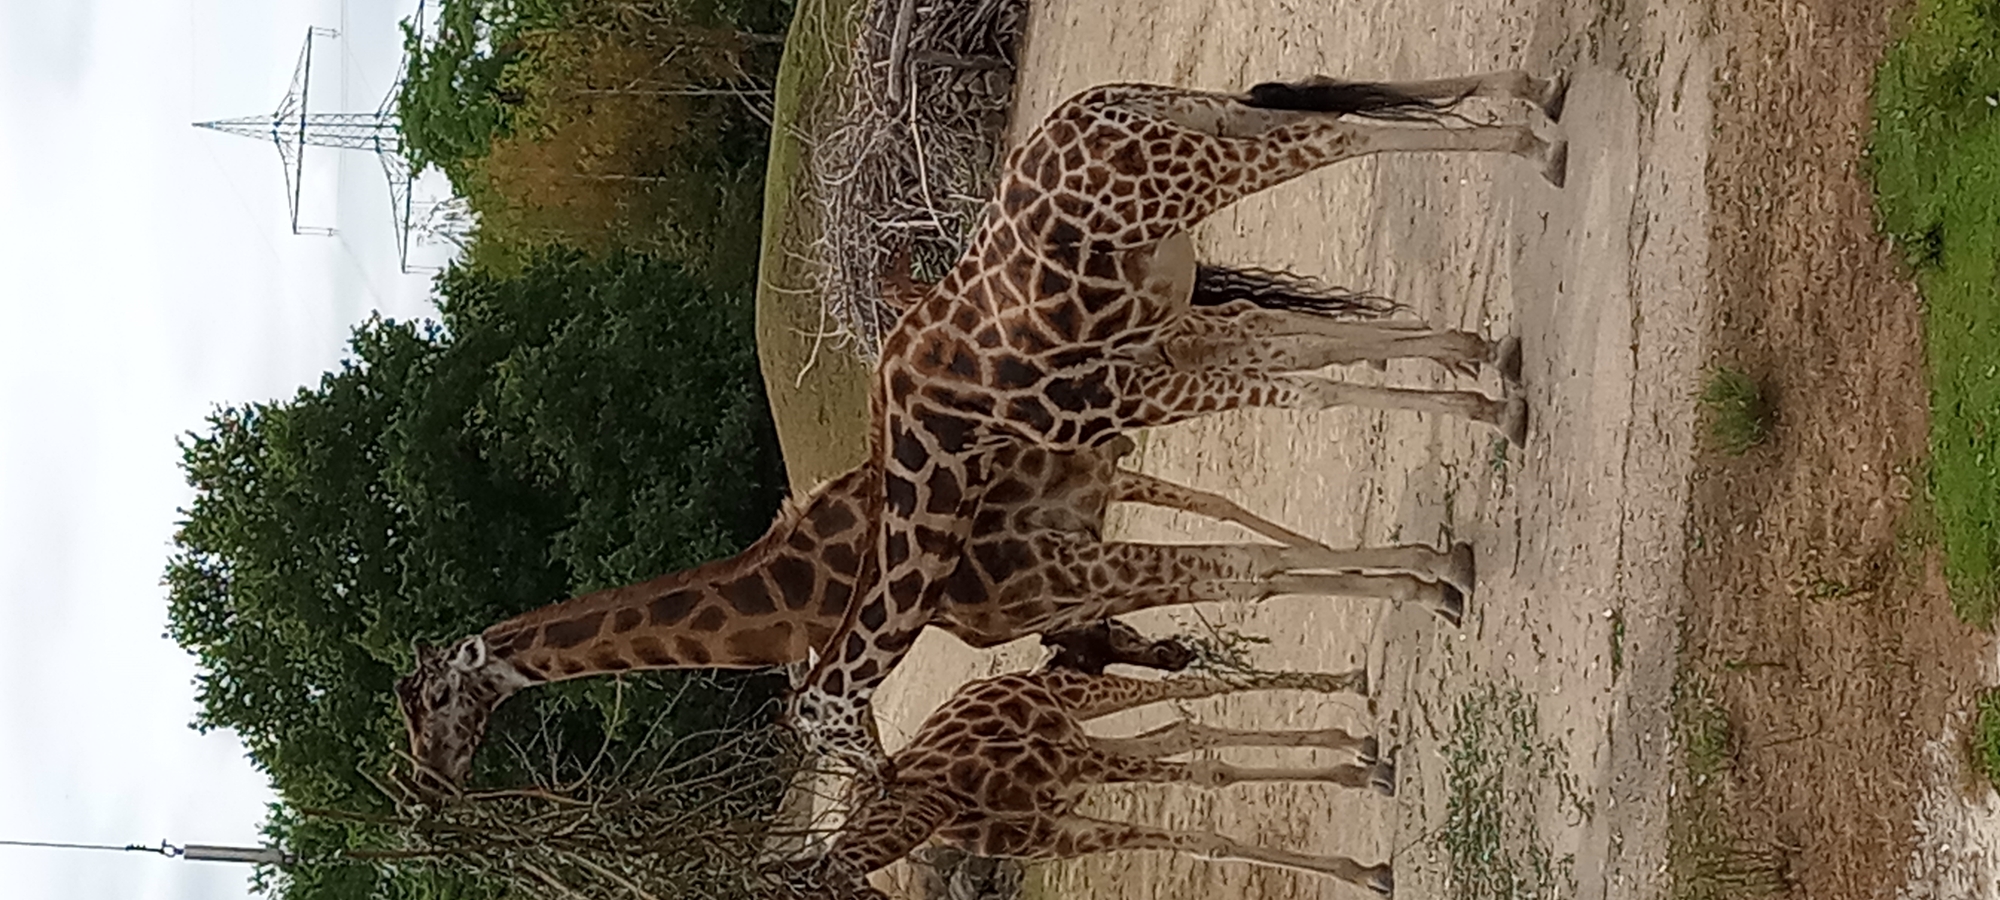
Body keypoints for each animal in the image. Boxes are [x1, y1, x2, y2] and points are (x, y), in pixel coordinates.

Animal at [394, 434, 1468, 788]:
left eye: (434, 702)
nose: (430, 782)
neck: (798, 596)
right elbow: (1155, 678)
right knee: (1221, 536)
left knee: (1235, 545)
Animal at [767, 667, 1399, 899]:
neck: (943, 803)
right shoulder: (1063, 832)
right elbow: (1204, 840)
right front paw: (1364, 870)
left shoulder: (1077, 767)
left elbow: (1209, 773)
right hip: (1082, 733)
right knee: (1180, 728)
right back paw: (1357, 746)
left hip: (1080, 707)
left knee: (1193, 687)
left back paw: (1351, 689)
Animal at [794, 69, 1569, 773]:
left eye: (833, 737)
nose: (885, 772)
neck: (947, 432)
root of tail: (1100, 105)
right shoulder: (1157, 359)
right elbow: (1305, 356)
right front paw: (1477, 370)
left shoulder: (1119, 396)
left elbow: (1305, 393)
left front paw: (1486, 414)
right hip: (1207, 123)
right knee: (1314, 105)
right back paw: (1537, 96)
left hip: (1187, 175)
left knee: (1335, 134)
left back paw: (1537, 147)